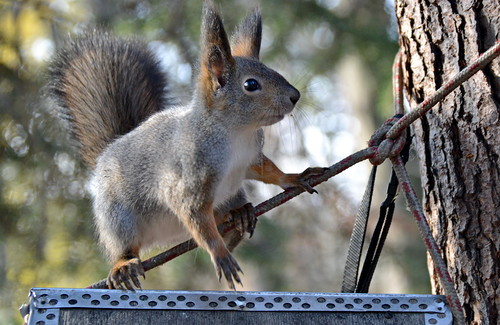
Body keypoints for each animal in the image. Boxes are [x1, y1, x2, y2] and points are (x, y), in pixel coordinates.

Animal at [48, 0, 322, 288]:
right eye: (251, 84)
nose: (295, 96)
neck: (237, 133)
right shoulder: (188, 178)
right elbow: (194, 215)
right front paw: (219, 253)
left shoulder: (250, 157)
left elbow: (268, 171)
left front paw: (294, 177)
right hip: (118, 217)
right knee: (125, 244)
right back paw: (124, 265)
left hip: (229, 194)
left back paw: (238, 214)